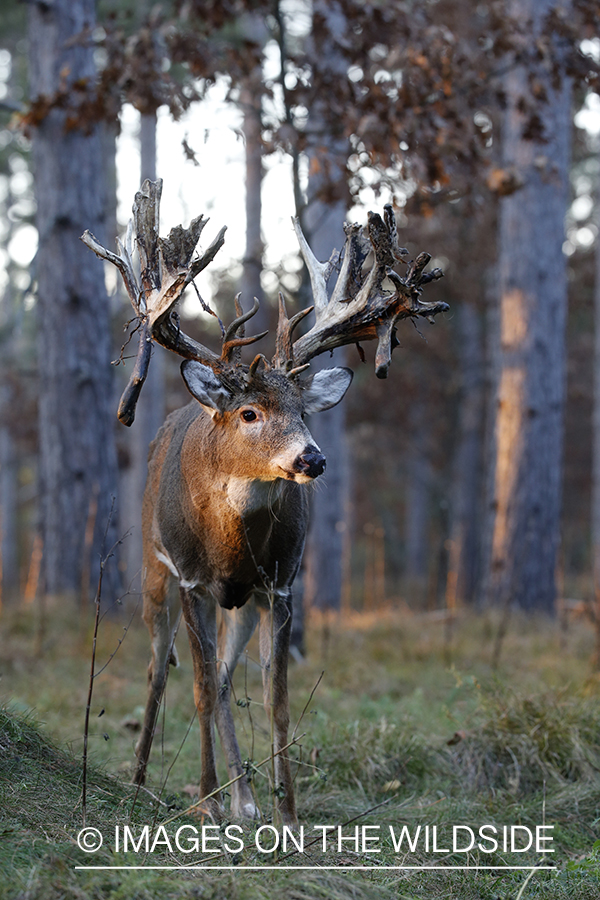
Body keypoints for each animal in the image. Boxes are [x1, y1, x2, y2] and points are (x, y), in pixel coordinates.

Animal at [81, 179, 446, 828]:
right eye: (250, 412)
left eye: (302, 410)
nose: (312, 459)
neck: (229, 547)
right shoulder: (191, 579)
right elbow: (197, 688)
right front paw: (204, 800)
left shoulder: (279, 584)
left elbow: (275, 697)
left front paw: (287, 813)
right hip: (153, 573)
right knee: (158, 672)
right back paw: (145, 779)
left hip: (243, 604)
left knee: (228, 679)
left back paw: (246, 798)